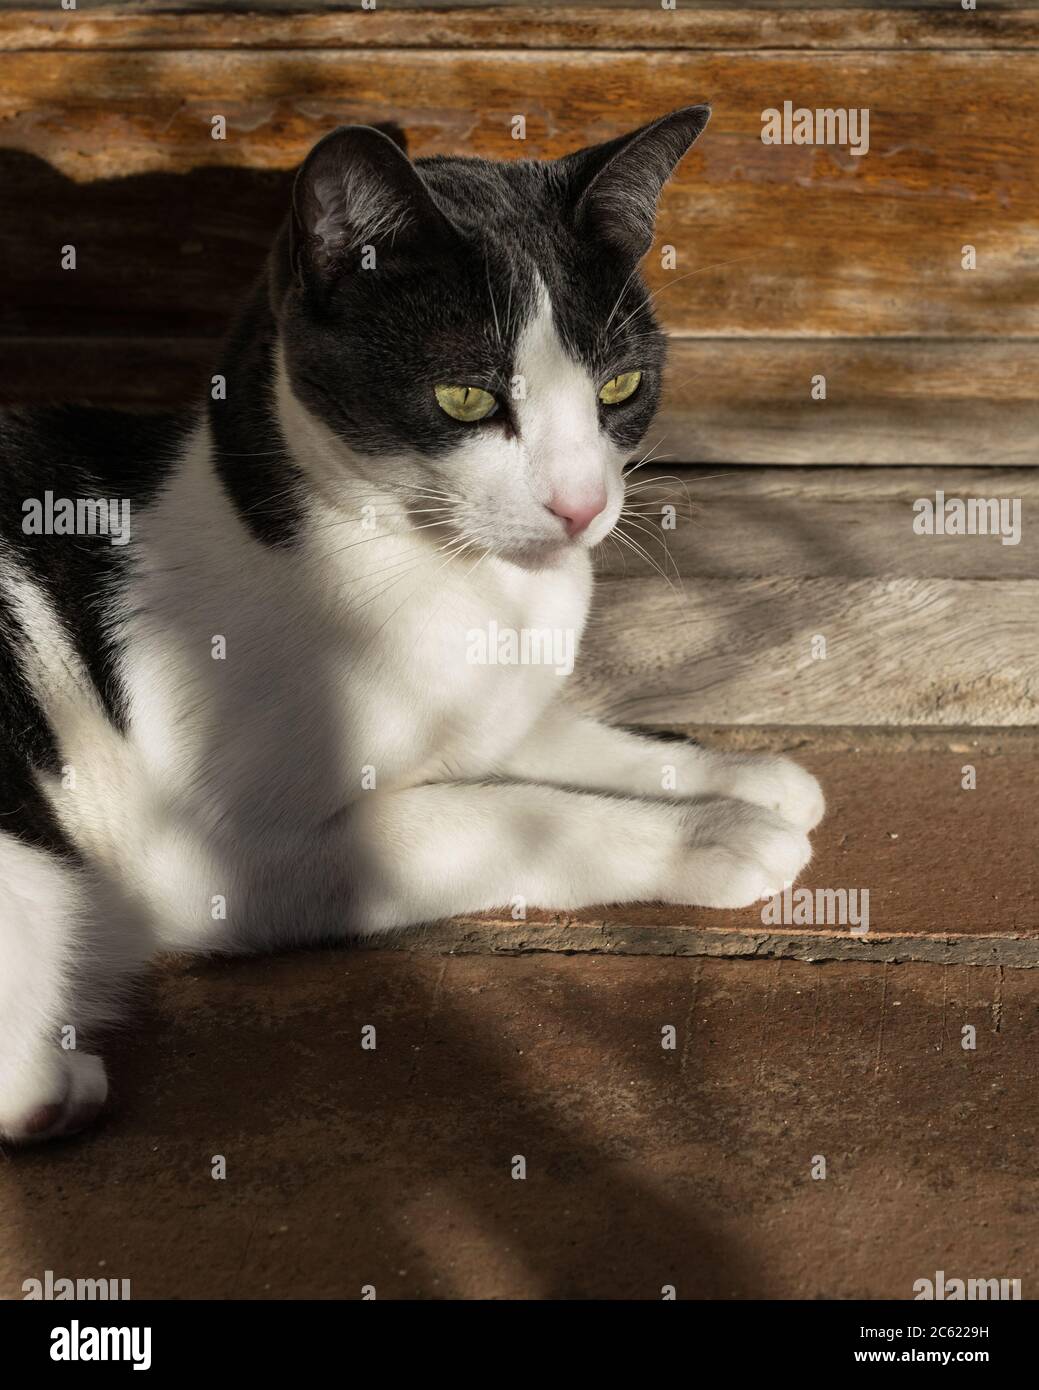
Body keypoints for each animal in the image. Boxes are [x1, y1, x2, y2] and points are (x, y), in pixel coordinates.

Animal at [2, 111, 823, 1139]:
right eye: (466, 398)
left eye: (619, 387)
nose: (581, 505)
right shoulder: (209, 853)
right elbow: (491, 810)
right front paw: (713, 834)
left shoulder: (490, 715)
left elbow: (557, 742)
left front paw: (739, 776)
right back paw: (60, 1087)